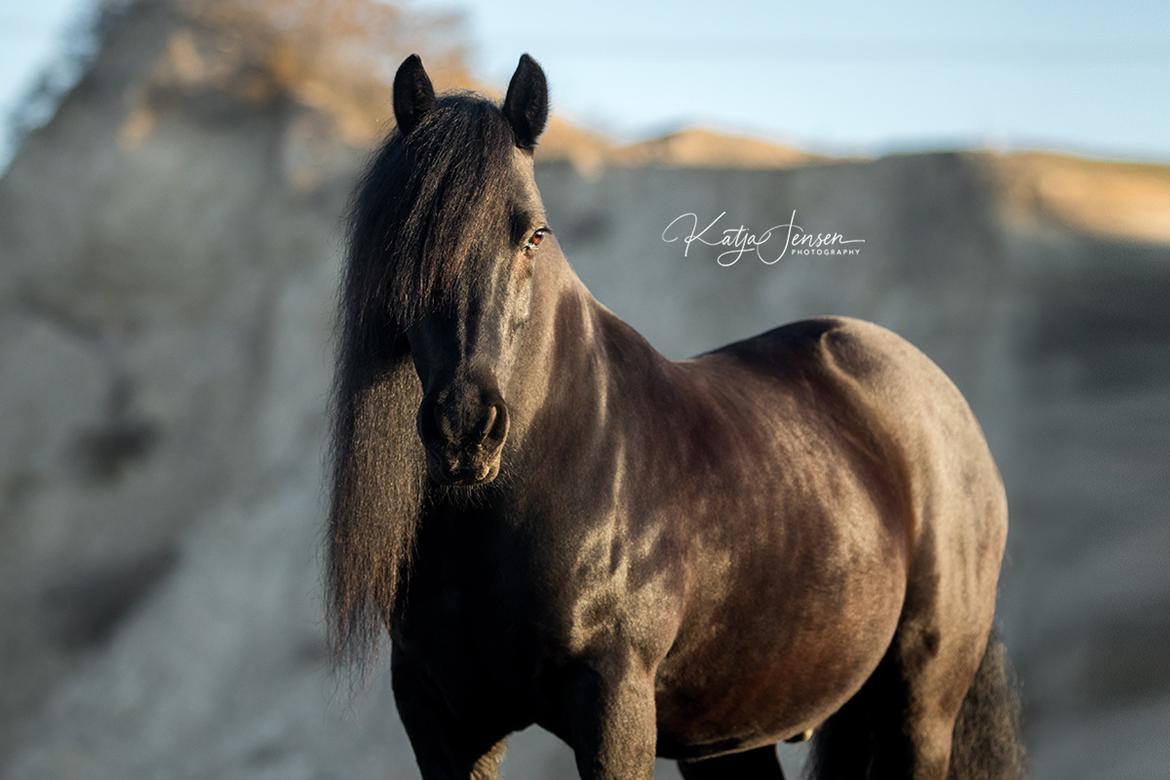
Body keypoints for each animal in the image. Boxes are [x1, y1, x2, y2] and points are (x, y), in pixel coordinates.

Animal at [326, 53, 1025, 779]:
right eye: (406, 240)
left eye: (535, 236)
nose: (467, 427)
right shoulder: (441, 717)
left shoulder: (615, 704)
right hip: (734, 737)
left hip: (920, 707)